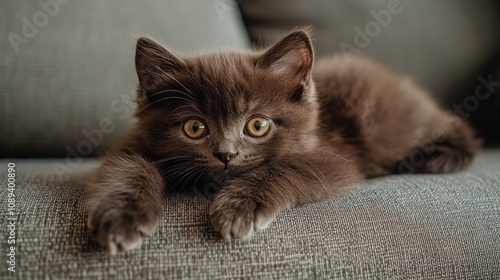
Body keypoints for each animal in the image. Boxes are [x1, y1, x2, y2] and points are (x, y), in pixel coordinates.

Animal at [86, 29, 480, 254]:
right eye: (195, 128)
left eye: (257, 125)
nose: (226, 154)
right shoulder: (133, 143)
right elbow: (127, 166)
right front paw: (120, 216)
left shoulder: (336, 157)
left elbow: (289, 164)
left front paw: (240, 205)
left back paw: (435, 156)